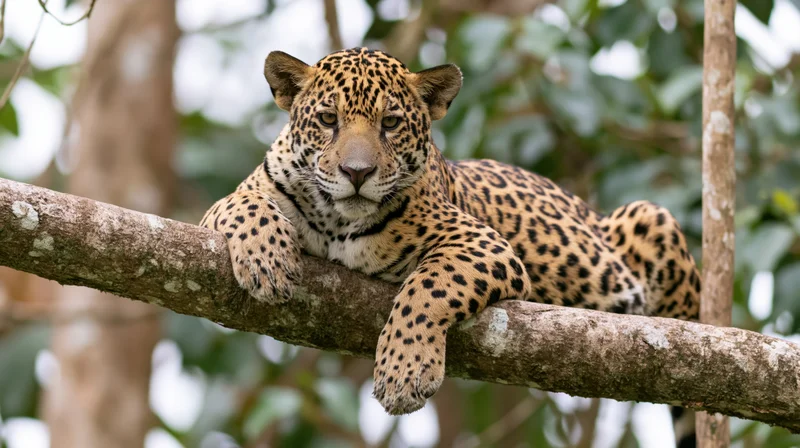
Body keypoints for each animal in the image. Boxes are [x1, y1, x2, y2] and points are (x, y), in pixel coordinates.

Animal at [200, 47, 701, 445]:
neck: (337, 220)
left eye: (390, 123)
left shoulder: (484, 244)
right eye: (327, 120)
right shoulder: (229, 204)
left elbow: (427, 287)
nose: (357, 173)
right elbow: (241, 205)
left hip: (649, 217)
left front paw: (403, 373)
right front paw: (267, 260)